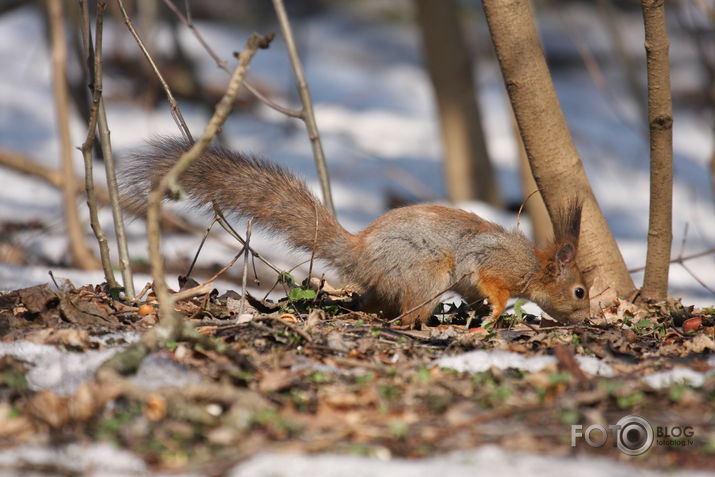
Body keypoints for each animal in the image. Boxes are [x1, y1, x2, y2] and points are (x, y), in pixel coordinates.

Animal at [124, 136, 592, 326]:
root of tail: (360, 252)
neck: (533, 266)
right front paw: (494, 314)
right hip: (426, 273)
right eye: (579, 291)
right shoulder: (495, 263)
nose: (587, 318)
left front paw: (480, 313)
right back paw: (427, 326)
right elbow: (493, 286)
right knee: (407, 314)